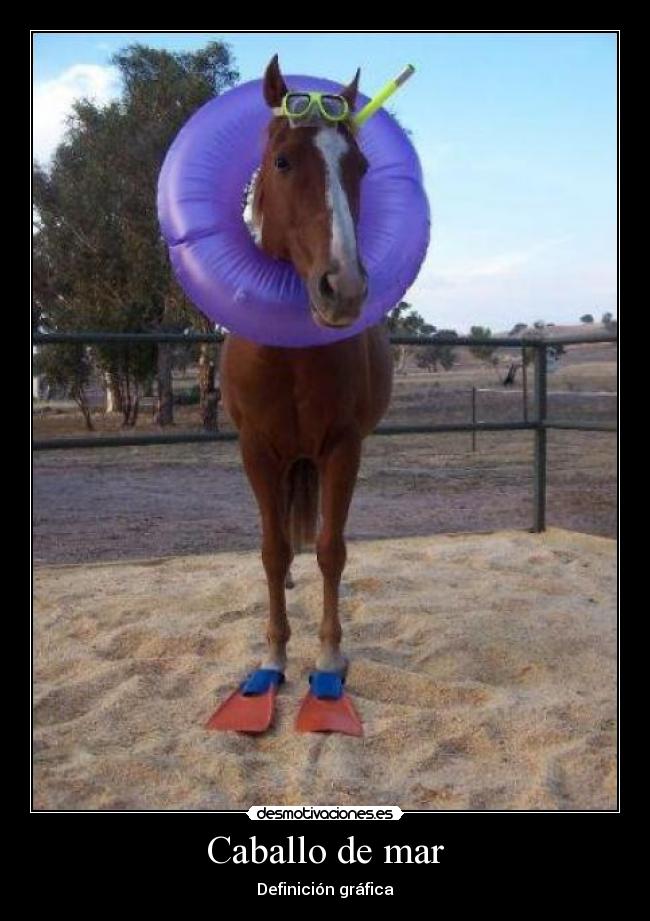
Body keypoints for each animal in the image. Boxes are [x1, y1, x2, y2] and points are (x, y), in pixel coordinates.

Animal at [220, 55, 393, 689]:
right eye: (283, 161)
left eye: (359, 166)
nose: (343, 287)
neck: (289, 357)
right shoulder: (256, 450)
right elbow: (272, 551)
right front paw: (272, 656)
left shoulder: (342, 447)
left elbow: (330, 549)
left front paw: (328, 656)